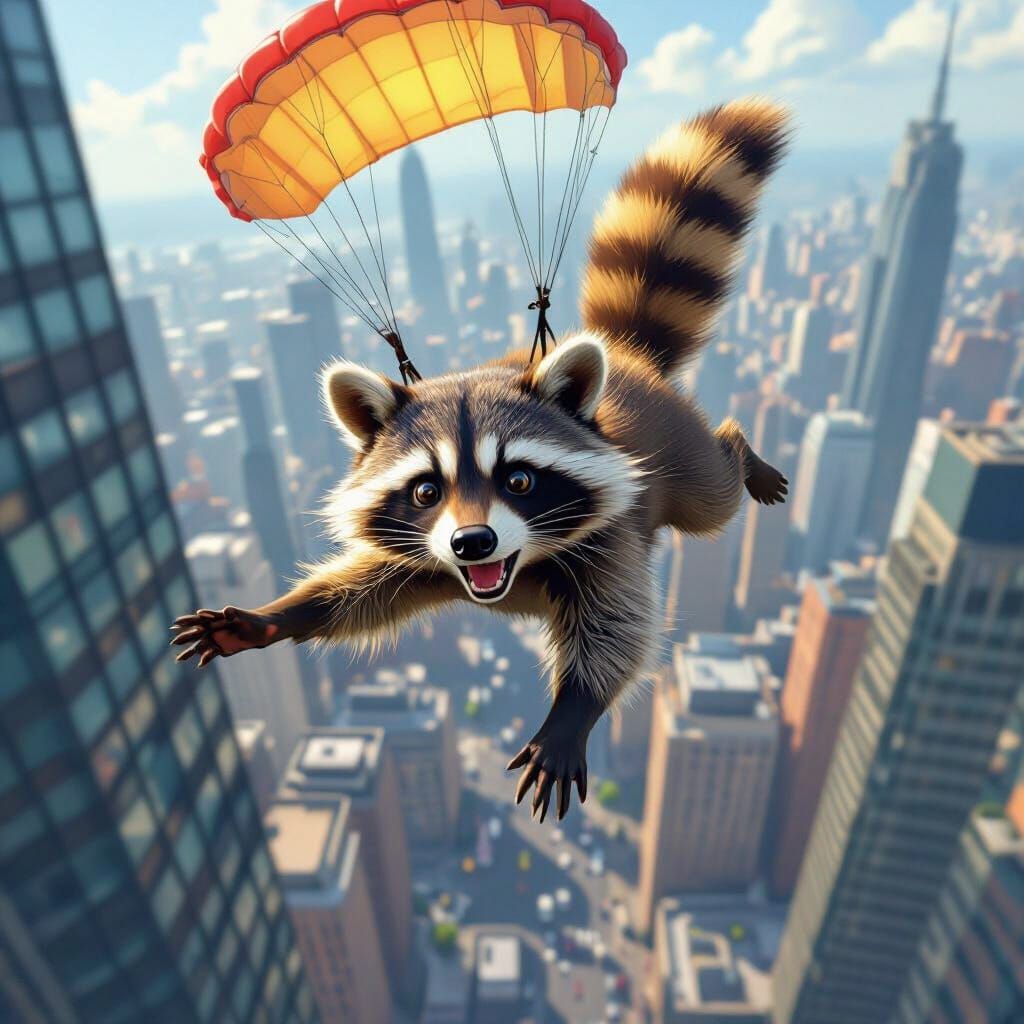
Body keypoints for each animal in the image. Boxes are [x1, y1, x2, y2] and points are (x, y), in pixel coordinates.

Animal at [172, 98, 791, 822]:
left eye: (519, 479)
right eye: (424, 491)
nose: (472, 542)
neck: (510, 569)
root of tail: (625, 358)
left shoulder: (610, 540)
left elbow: (620, 631)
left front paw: (570, 716)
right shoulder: (419, 557)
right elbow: (359, 592)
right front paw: (274, 617)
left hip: (679, 459)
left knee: (713, 494)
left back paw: (744, 454)